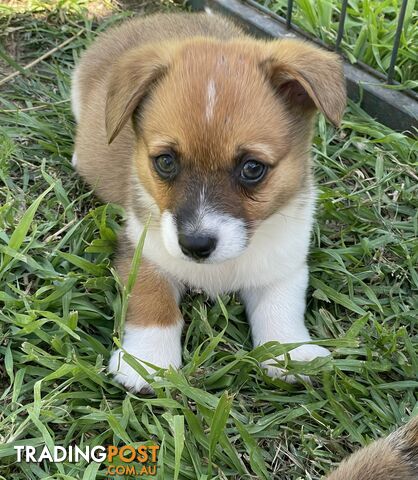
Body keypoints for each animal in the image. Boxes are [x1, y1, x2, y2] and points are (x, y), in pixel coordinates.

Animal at [72, 13, 346, 392]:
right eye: (165, 162)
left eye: (252, 168)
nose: (195, 245)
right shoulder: (143, 251)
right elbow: (152, 301)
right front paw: (147, 362)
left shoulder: (283, 263)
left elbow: (281, 307)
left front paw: (290, 354)